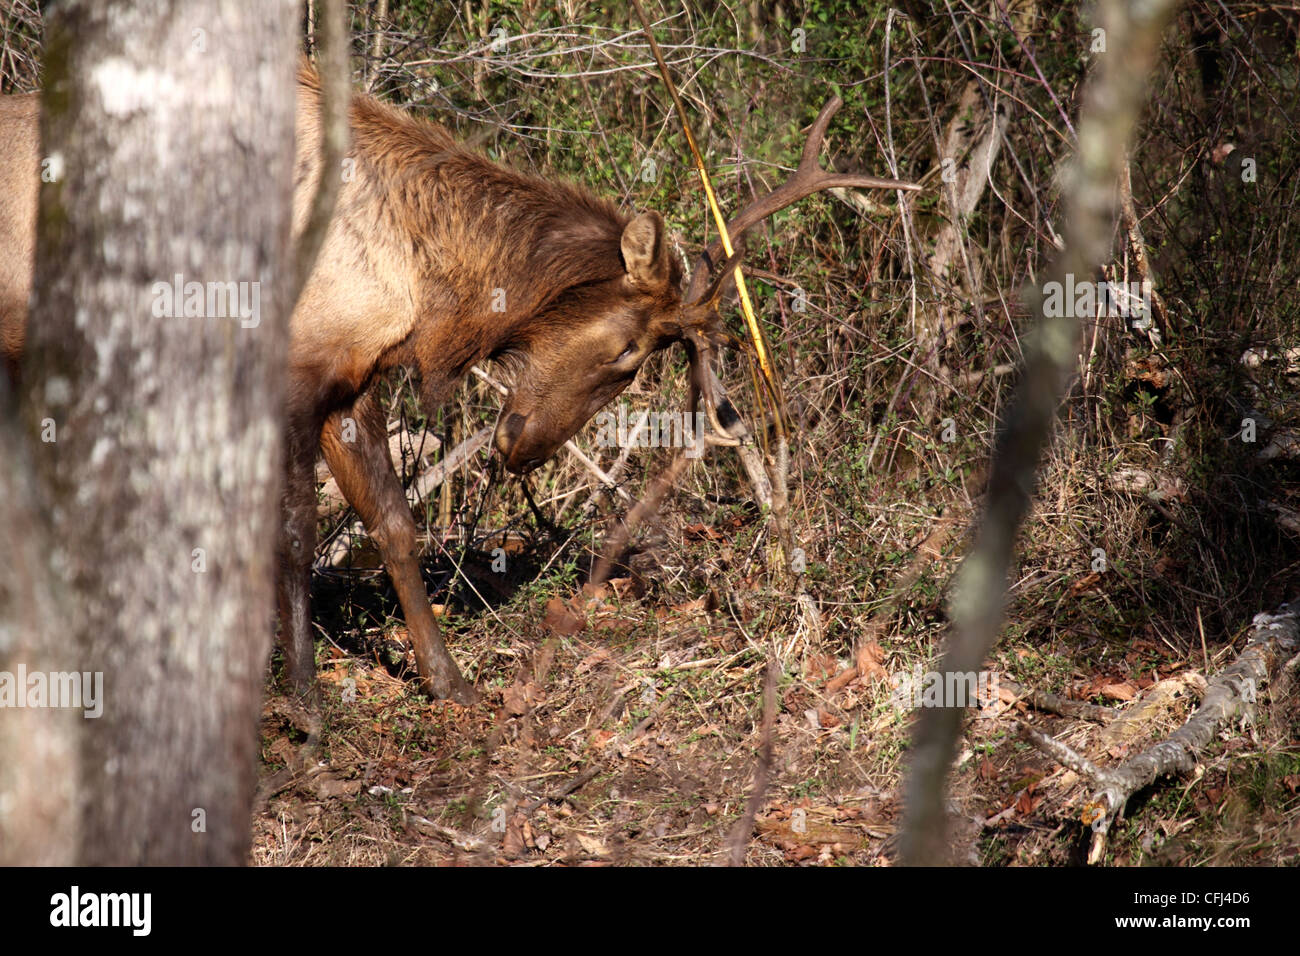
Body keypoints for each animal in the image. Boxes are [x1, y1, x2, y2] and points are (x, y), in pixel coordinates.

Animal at [0, 66, 918, 703]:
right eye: (627, 352)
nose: (522, 448)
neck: (426, 285)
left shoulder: (352, 379)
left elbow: (396, 526)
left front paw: (448, 681)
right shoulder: (291, 368)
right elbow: (293, 534)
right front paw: (301, 698)